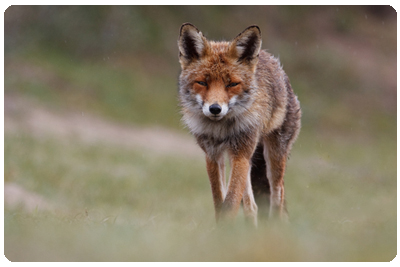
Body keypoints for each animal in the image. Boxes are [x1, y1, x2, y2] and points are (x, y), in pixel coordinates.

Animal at [177, 23, 300, 226]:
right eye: (202, 82)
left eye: (232, 84)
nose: (215, 109)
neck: (221, 131)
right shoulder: (213, 155)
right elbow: (220, 202)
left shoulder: (240, 153)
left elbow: (230, 202)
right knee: (252, 207)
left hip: (273, 156)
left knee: (277, 198)